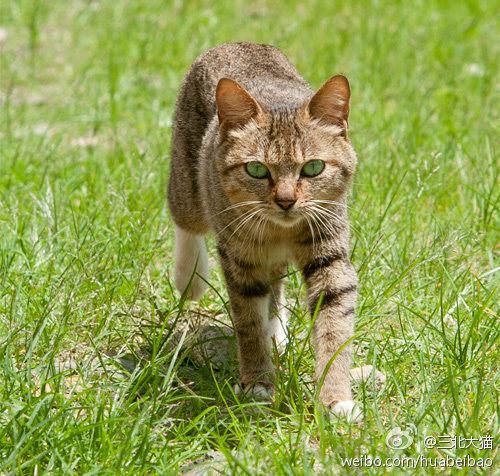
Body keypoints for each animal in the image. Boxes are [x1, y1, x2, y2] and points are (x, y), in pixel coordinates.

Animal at [168, 41, 360, 420]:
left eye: (313, 168)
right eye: (256, 169)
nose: (286, 201)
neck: (279, 230)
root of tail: (235, 42)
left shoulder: (330, 256)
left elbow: (334, 326)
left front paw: (334, 398)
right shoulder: (240, 259)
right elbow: (248, 324)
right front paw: (257, 384)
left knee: (277, 279)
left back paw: (278, 331)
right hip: (188, 184)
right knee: (185, 220)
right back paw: (190, 276)